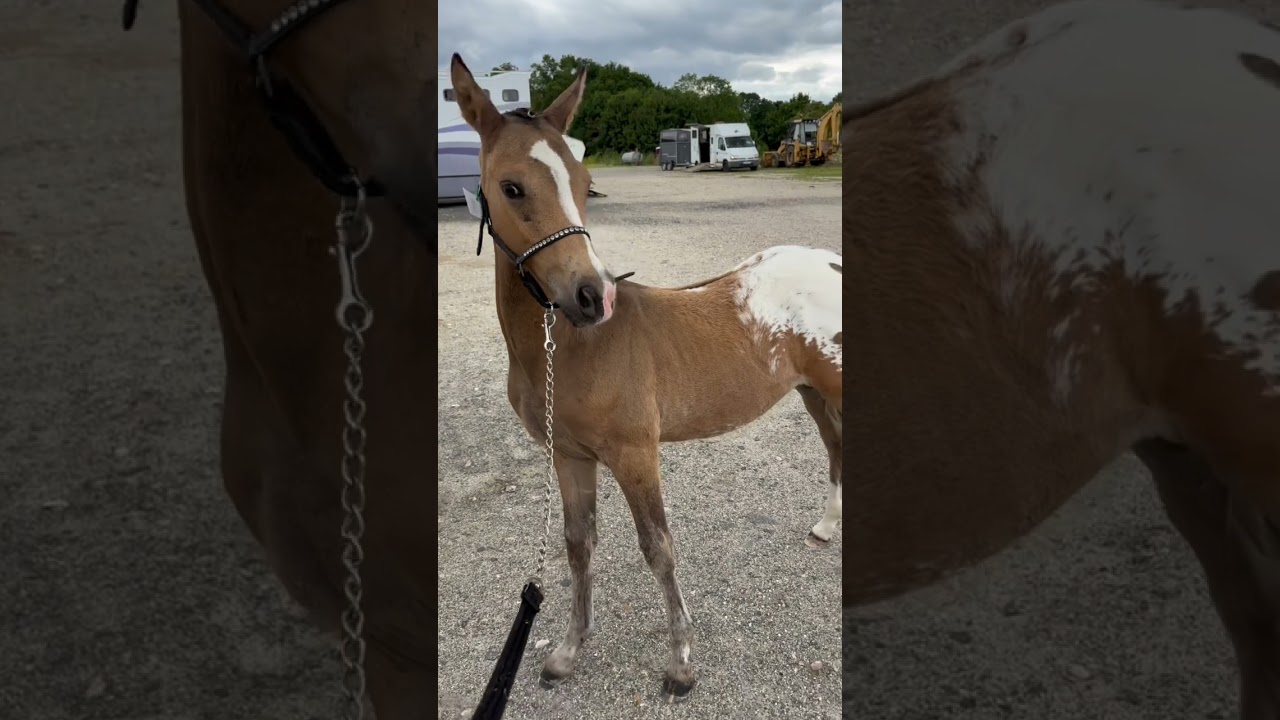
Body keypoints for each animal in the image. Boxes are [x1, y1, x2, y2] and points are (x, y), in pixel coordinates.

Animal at [448, 54, 844, 701]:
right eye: (512, 187)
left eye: (584, 183)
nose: (592, 297)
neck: (571, 348)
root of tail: (831, 260)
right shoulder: (570, 456)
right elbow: (578, 546)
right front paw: (567, 652)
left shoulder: (636, 453)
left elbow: (658, 549)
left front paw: (681, 664)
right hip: (813, 391)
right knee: (836, 448)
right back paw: (827, 526)